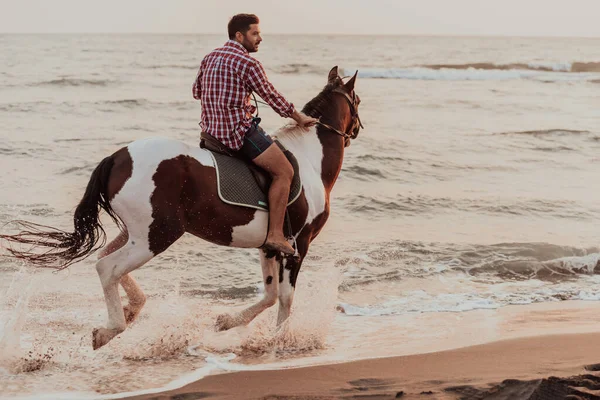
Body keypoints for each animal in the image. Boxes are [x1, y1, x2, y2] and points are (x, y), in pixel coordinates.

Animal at [0, 64, 360, 348]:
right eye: (357, 101)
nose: (357, 128)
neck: (310, 159)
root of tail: (117, 157)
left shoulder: (270, 247)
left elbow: (270, 294)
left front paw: (227, 322)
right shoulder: (298, 245)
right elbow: (285, 297)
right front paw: (281, 341)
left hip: (135, 232)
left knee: (105, 260)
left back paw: (130, 310)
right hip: (156, 235)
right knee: (107, 268)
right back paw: (111, 329)